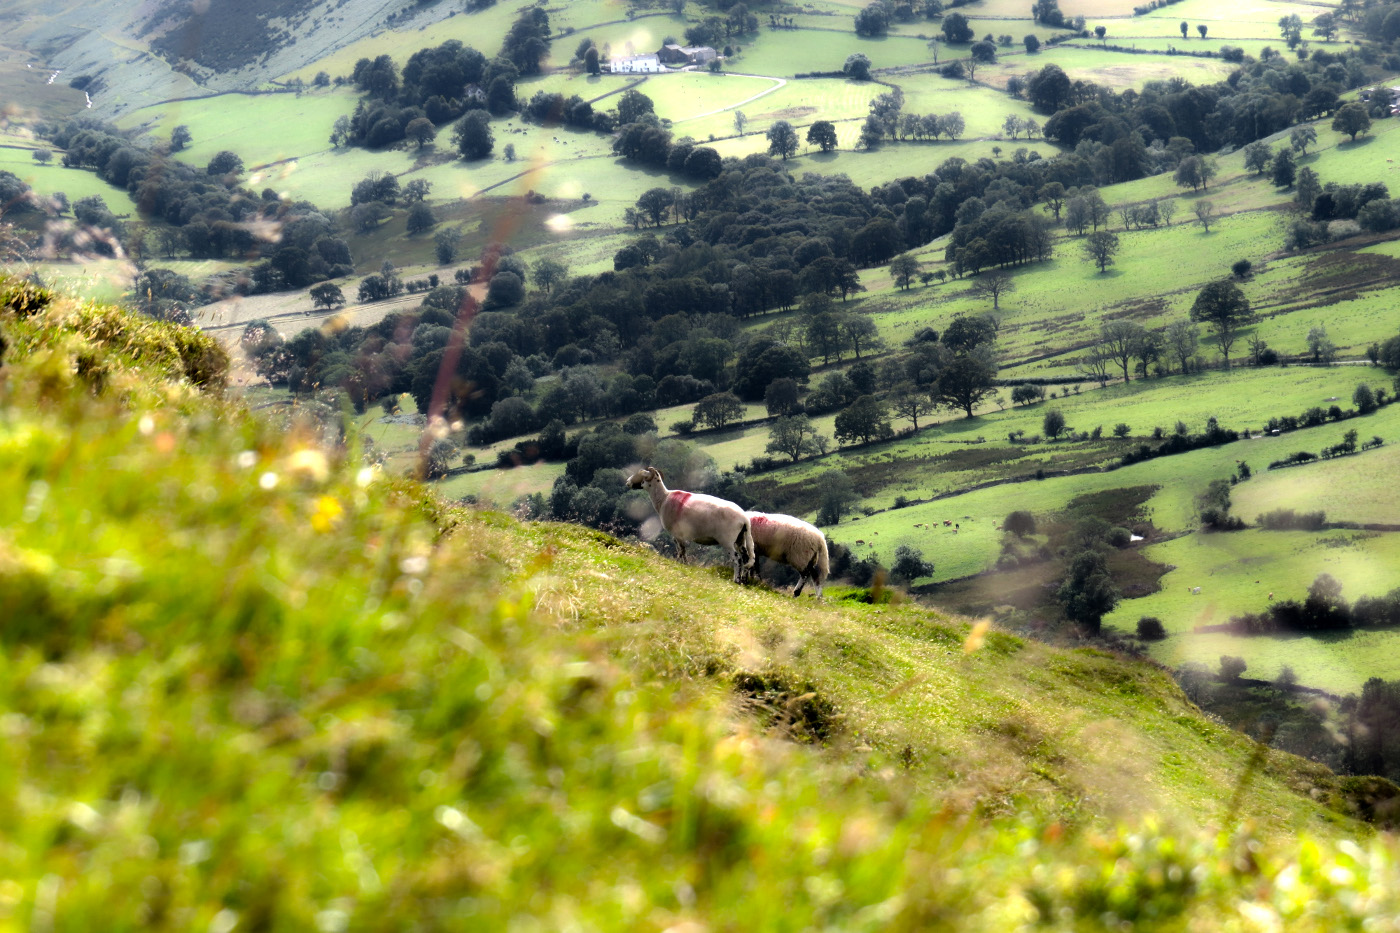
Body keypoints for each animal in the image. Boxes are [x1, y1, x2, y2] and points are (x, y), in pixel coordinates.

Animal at [627, 465, 756, 582]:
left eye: (642, 474)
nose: (627, 481)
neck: (663, 498)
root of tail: (744, 519)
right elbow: (682, 550)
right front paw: (684, 564)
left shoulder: (677, 534)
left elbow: (681, 550)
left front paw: (681, 564)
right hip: (741, 538)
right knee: (745, 558)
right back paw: (744, 580)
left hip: (727, 540)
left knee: (737, 559)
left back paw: (736, 580)